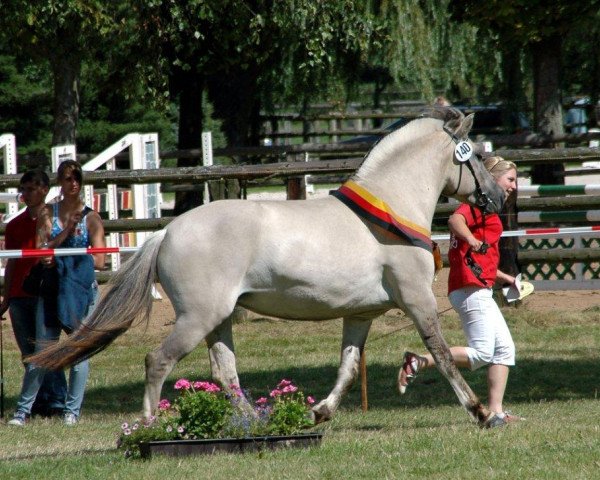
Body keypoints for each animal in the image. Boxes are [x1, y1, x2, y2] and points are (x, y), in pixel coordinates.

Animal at [28, 106, 506, 428]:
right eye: (475, 157)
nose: (498, 198)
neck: (389, 212)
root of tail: (166, 232)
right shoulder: (417, 300)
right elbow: (442, 354)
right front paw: (481, 412)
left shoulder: (361, 314)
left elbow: (349, 369)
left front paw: (319, 413)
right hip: (197, 318)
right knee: (158, 360)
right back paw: (149, 427)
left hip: (218, 319)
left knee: (224, 371)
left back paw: (256, 422)